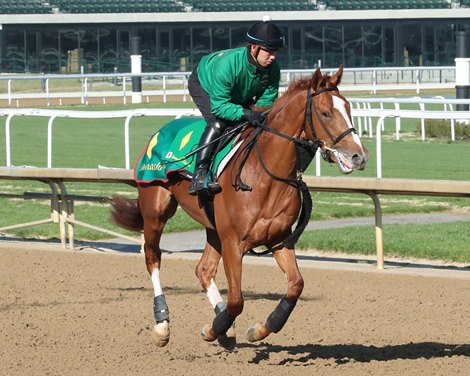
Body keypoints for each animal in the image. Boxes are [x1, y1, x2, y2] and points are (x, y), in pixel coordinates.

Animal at [110, 65, 368, 350]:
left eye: (348, 107)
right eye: (325, 113)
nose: (358, 156)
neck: (265, 176)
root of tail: (159, 133)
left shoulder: (278, 239)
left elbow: (295, 286)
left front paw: (257, 329)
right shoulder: (233, 242)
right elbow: (237, 300)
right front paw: (214, 328)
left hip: (212, 227)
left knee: (203, 270)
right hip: (155, 211)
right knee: (152, 258)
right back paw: (162, 325)